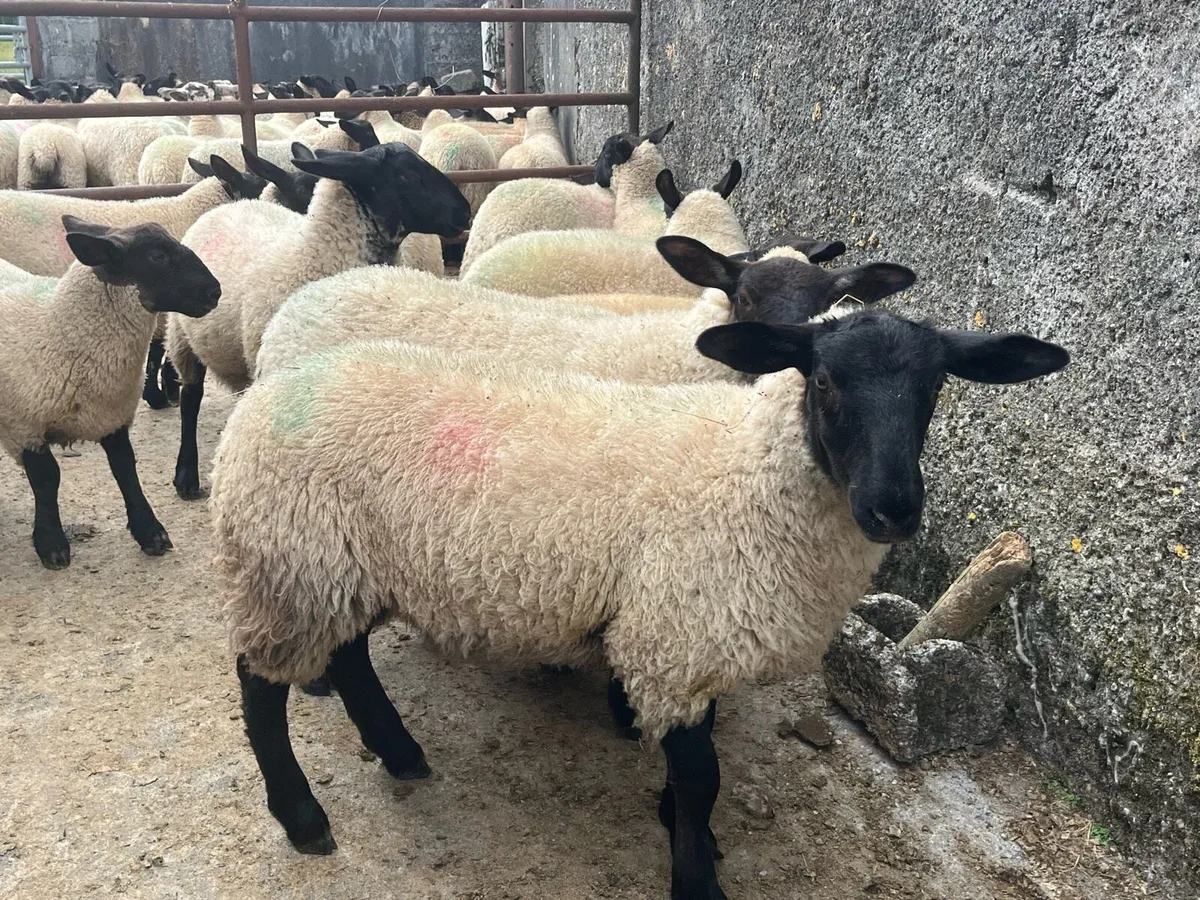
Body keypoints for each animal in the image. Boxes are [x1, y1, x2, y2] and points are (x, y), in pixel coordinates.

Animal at [1, 215, 220, 570]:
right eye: (156, 256)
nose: (216, 291)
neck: (59, 336)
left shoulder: (112, 415)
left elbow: (126, 470)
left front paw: (150, 532)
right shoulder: (23, 426)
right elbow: (48, 478)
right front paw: (51, 544)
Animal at [167, 141, 471, 500]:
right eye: (404, 173)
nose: (464, 211)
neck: (312, 253)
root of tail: (231, 206)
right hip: (181, 334)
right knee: (190, 397)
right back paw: (186, 474)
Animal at [212, 305, 1068, 898]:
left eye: (935, 388)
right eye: (824, 381)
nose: (893, 509)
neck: (747, 478)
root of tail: (259, 396)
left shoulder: (691, 637)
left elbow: (699, 758)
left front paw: (686, 830)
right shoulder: (676, 637)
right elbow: (703, 775)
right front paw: (696, 876)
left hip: (336, 567)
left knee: (351, 657)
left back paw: (399, 753)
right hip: (288, 562)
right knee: (261, 686)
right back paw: (302, 817)